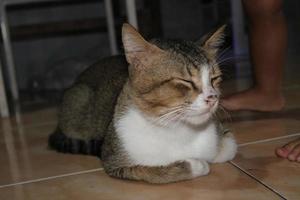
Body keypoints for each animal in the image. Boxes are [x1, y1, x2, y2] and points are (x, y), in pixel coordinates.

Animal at [48, 22, 237, 184]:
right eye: (185, 81)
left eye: (214, 78)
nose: (213, 97)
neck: (177, 129)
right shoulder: (115, 162)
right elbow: (151, 172)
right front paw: (196, 165)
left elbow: (229, 147)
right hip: (79, 100)